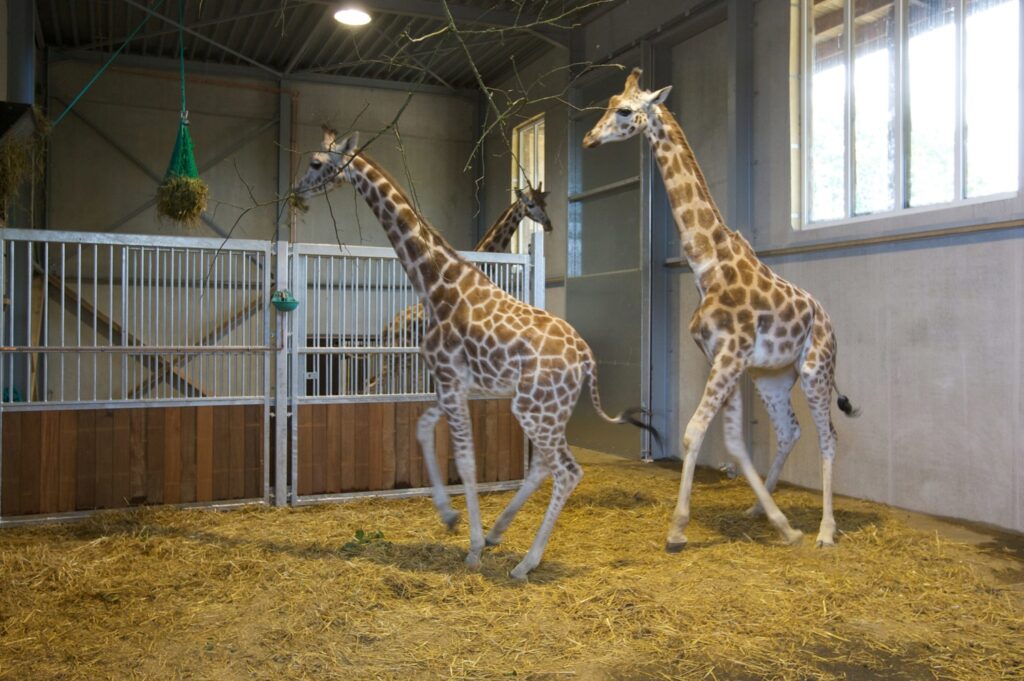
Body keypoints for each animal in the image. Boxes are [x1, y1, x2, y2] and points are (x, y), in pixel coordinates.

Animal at [365, 186, 553, 394]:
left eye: (544, 203)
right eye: (531, 204)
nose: (548, 224)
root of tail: (388, 327)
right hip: (399, 354)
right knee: (371, 384)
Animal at [583, 68, 858, 551]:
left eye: (625, 110)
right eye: (609, 102)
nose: (589, 139)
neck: (706, 264)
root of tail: (829, 321)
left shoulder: (729, 357)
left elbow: (694, 432)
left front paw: (677, 528)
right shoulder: (723, 358)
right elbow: (733, 442)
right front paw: (782, 524)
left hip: (814, 369)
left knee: (828, 435)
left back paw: (826, 530)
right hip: (772, 377)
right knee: (790, 430)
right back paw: (762, 510)